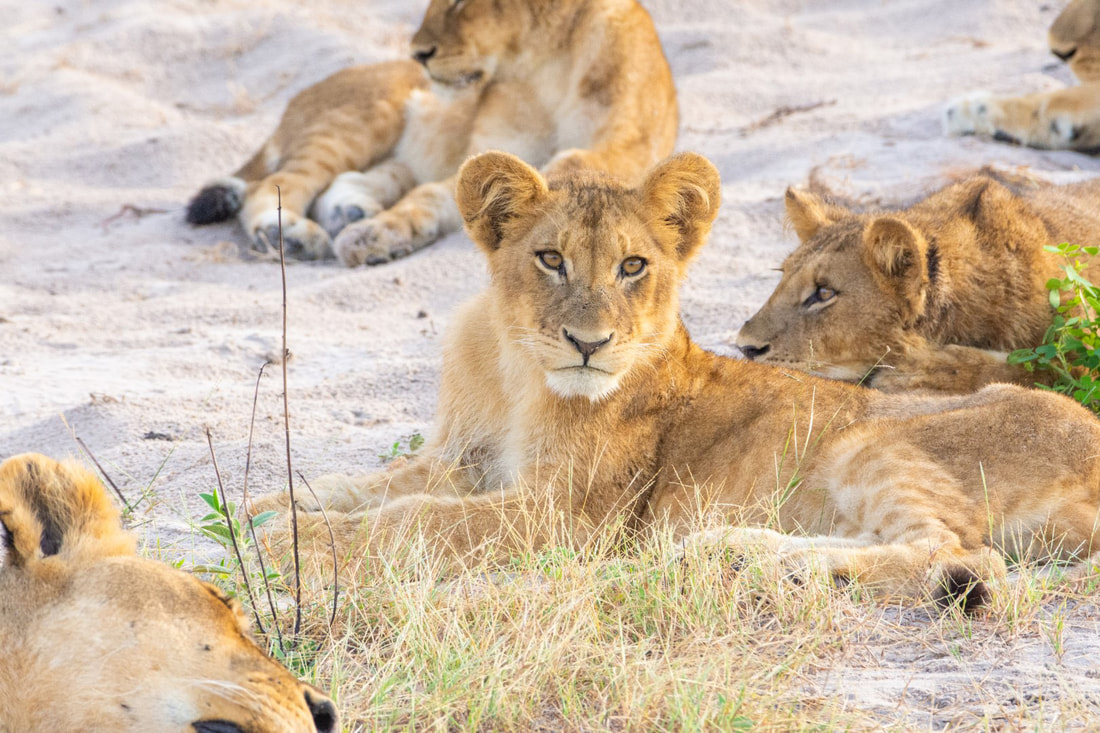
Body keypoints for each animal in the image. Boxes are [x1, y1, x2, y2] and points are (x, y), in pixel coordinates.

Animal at [186, 0, 678, 267]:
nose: (418, 53)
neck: (544, 66)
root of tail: (295, 102)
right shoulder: (486, 154)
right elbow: (432, 198)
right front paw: (378, 234)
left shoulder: (627, 147)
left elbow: (572, 164)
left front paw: (374, 234)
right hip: (360, 119)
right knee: (276, 183)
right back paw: (291, 234)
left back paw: (348, 212)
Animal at [735, 173, 1100, 393]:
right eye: (782, 277)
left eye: (824, 292)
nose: (744, 348)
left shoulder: (1082, 356)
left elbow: (1036, 368)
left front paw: (915, 371)